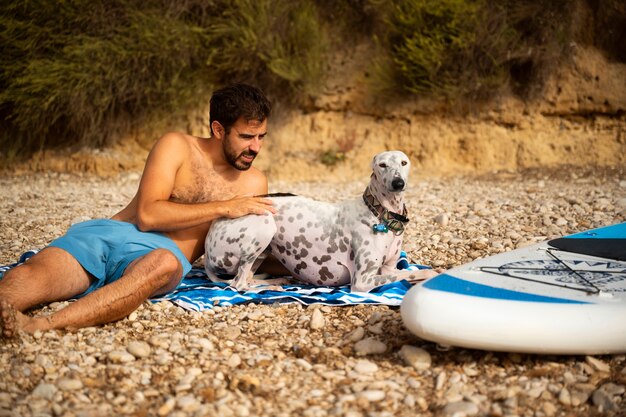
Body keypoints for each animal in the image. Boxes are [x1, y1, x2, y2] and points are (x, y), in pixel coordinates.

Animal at [202, 151, 436, 290]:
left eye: (404, 162)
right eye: (382, 164)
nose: (398, 183)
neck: (380, 213)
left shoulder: (387, 269)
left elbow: (406, 273)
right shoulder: (362, 281)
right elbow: (415, 273)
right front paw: (431, 273)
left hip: (263, 248)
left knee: (246, 277)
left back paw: (274, 279)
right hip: (264, 224)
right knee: (238, 284)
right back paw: (271, 286)